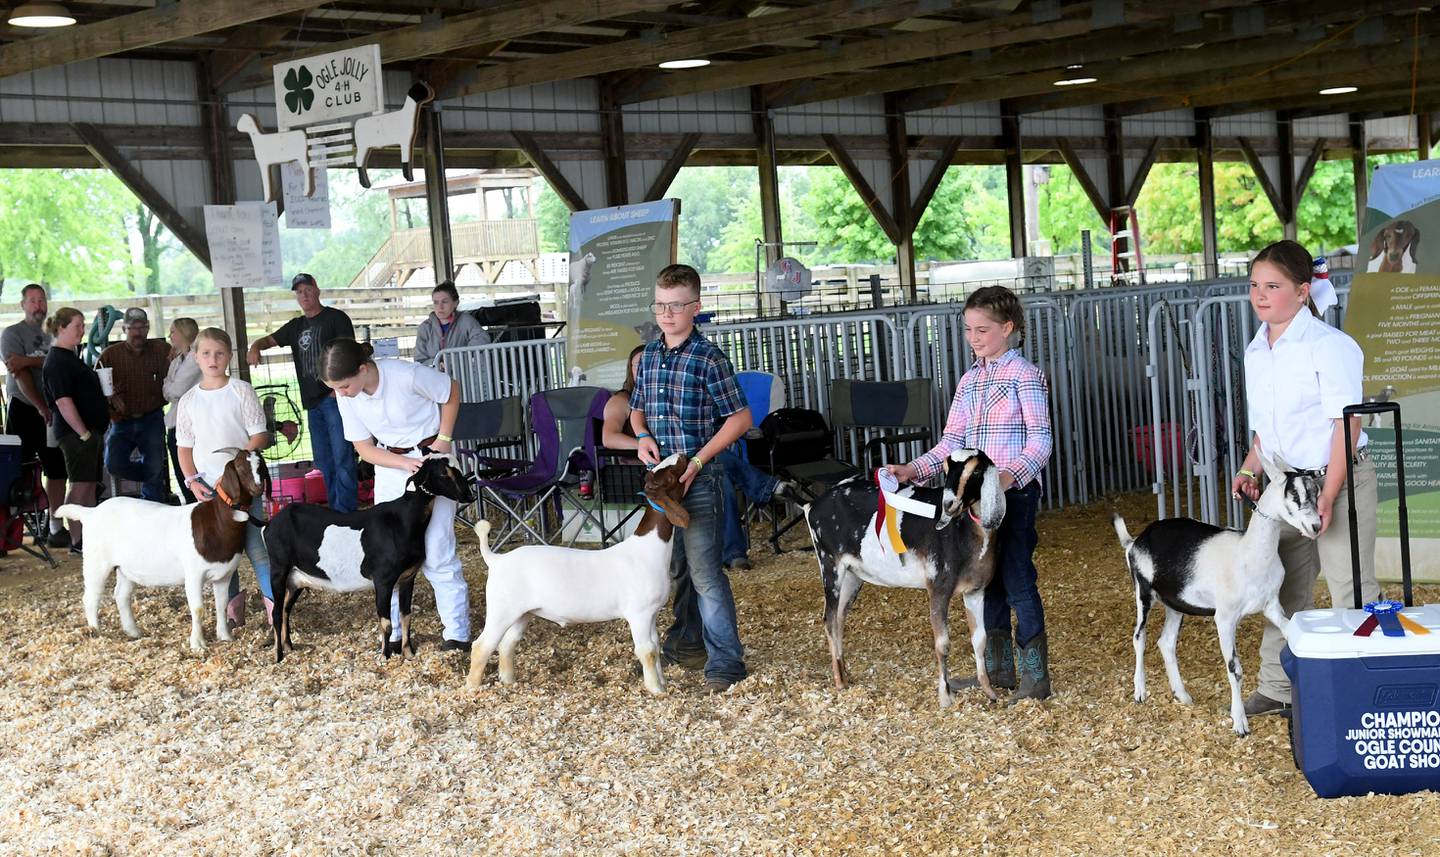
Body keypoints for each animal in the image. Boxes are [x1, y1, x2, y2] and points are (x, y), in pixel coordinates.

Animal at [58, 449, 267, 656]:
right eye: (240, 467)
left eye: (261, 465)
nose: (258, 488)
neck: (219, 519)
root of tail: (90, 513)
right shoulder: (193, 574)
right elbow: (198, 609)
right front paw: (197, 644)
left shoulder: (224, 575)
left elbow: (222, 605)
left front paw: (225, 636)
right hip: (96, 561)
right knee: (91, 597)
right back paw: (96, 632)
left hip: (125, 568)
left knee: (121, 595)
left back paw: (133, 631)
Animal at [806, 449, 1008, 711]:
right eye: (946, 468)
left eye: (975, 471)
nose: (949, 504)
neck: (965, 532)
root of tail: (812, 505)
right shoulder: (938, 587)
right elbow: (943, 644)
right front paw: (945, 697)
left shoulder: (975, 590)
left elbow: (980, 639)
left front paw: (989, 691)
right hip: (829, 564)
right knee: (829, 619)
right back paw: (839, 682)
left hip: (852, 575)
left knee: (839, 618)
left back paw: (845, 673)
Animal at [1111, 455, 1324, 737]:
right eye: (1294, 494)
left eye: (1316, 493)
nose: (1316, 526)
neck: (1248, 553)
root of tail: (1134, 541)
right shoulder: (1224, 618)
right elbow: (1235, 669)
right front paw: (1240, 723)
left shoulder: (1271, 606)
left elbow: (1289, 630)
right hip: (1143, 593)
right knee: (1139, 636)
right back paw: (1140, 692)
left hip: (1175, 604)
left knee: (1165, 642)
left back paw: (1183, 695)